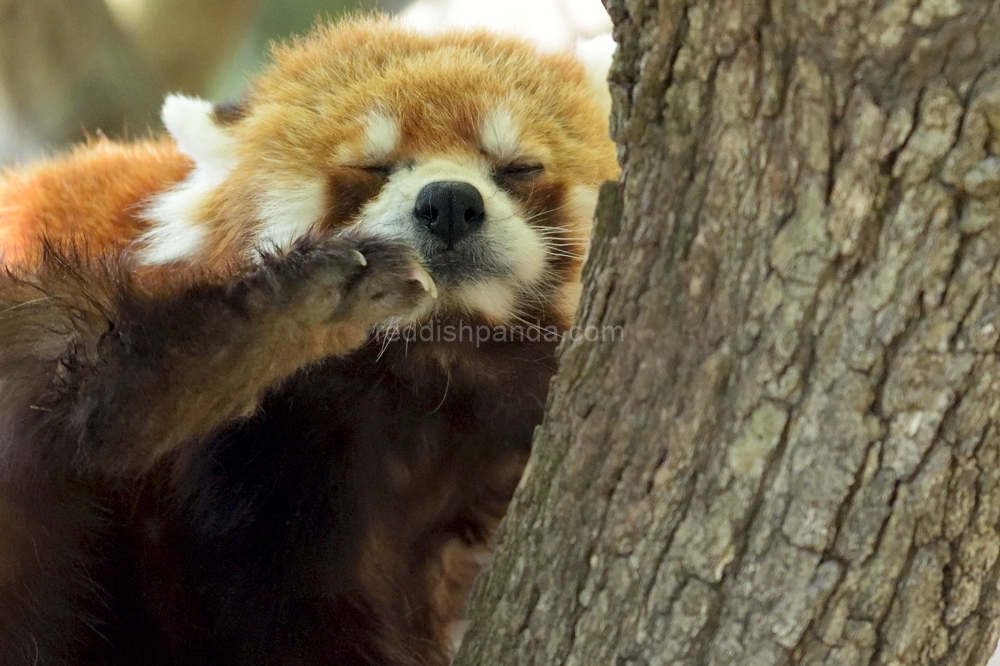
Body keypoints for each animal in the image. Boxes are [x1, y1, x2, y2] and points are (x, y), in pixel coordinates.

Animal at [0, 16, 616, 664]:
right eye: (372, 167)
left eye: (519, 167)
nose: (449, 202)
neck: (437, 365)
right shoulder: (272, 468)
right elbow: (285, 615)